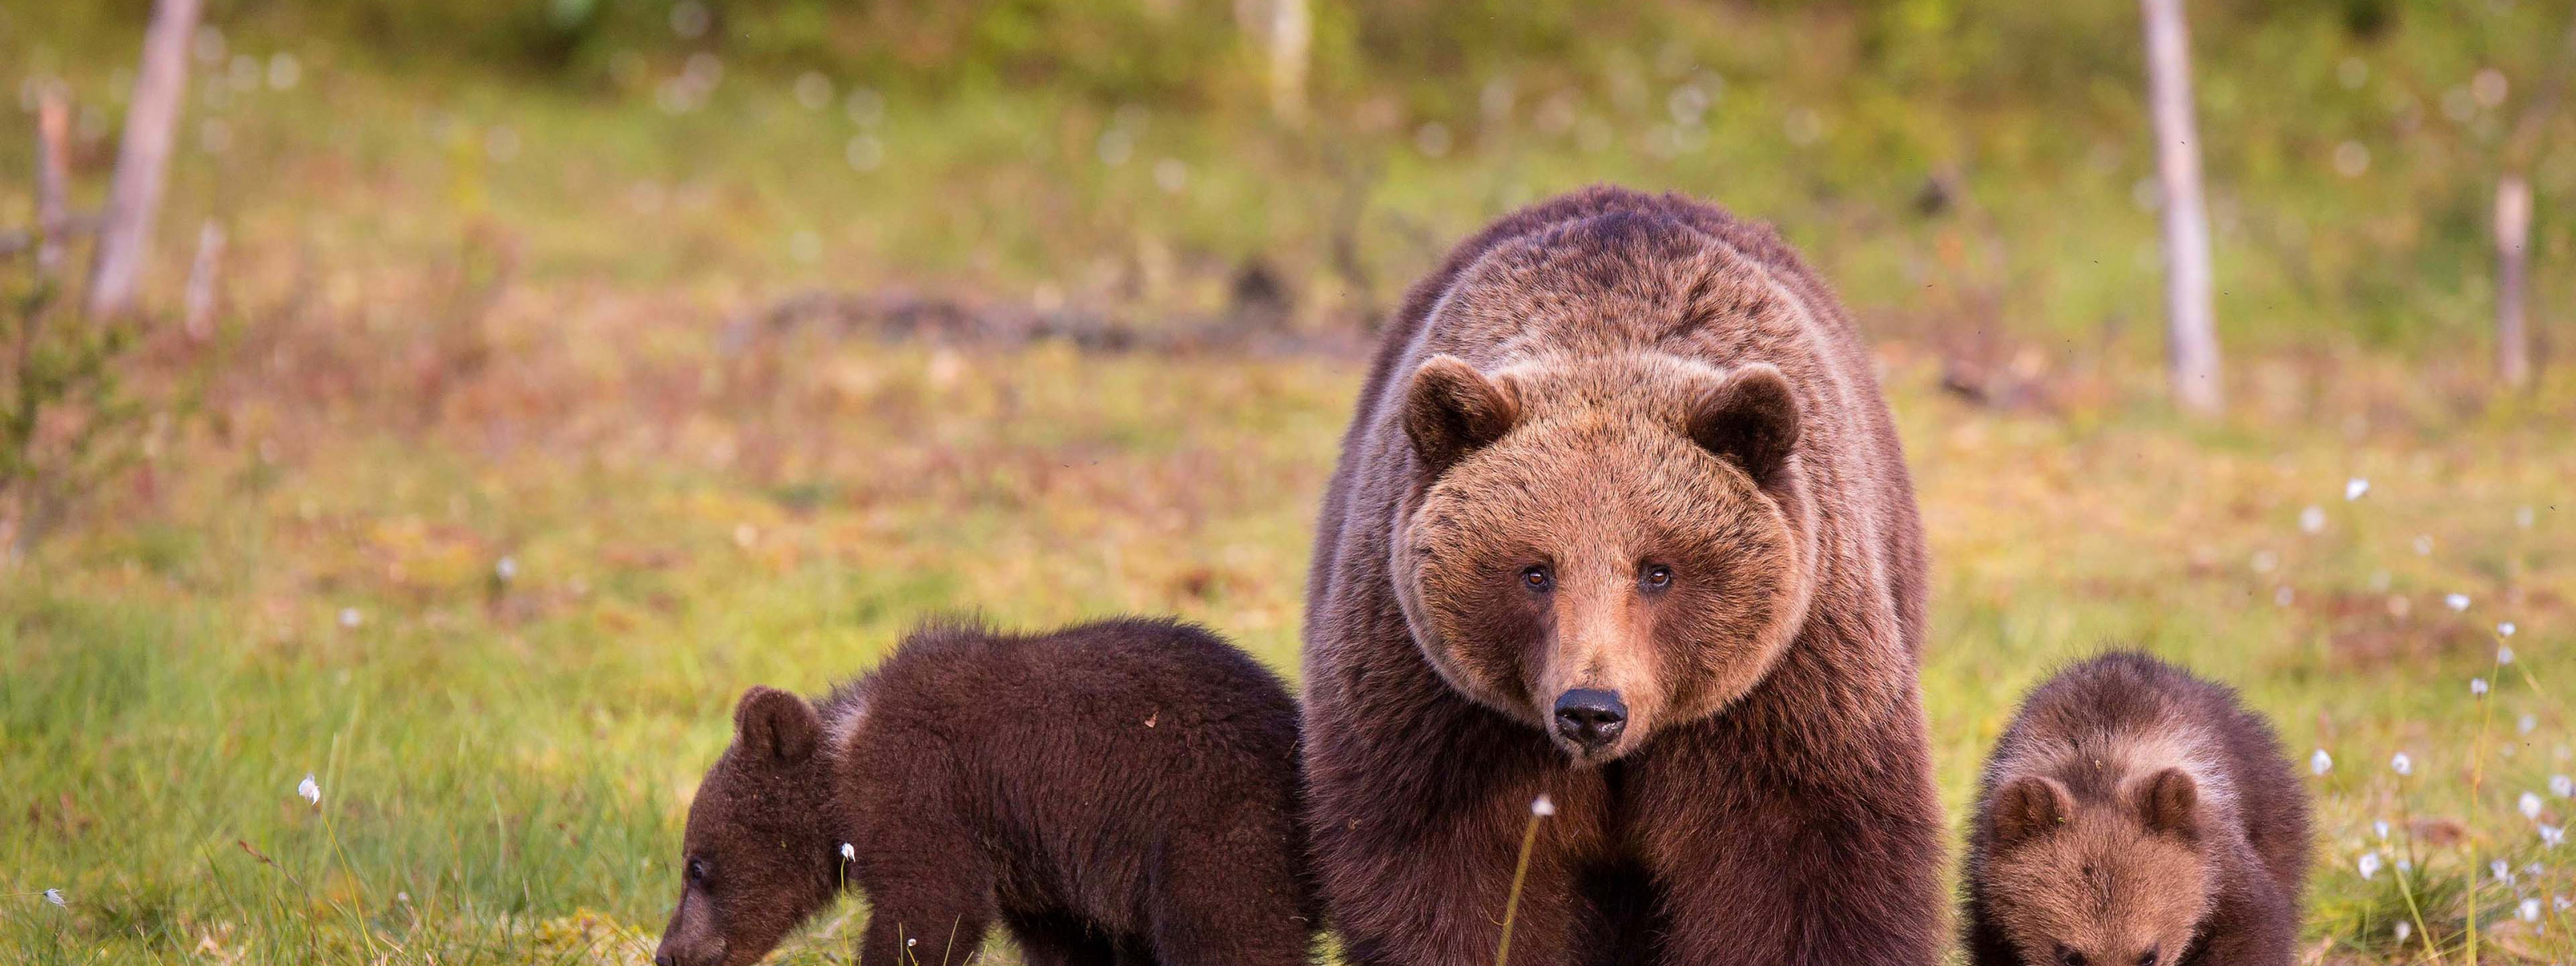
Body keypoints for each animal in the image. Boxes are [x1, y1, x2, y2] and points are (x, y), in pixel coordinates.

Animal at [1308, 185, 1937, 963]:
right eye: (1535, 570)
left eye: (1658, 570)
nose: (1591, 709)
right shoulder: (1441, 705)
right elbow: (1449, 873)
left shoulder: (1785, 691)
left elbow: (1805, 868)